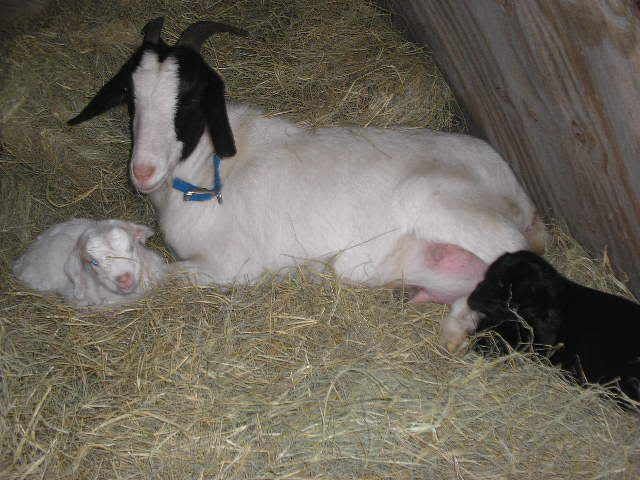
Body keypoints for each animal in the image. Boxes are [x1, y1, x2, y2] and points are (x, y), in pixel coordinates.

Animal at [68, 17, 547, 349]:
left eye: (189, 98)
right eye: (131, 98)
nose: (142, 171)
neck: (208, 173)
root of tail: (518, 194)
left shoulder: (232, 265)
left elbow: (164, 275)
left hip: (444, 205)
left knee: (514, 255)